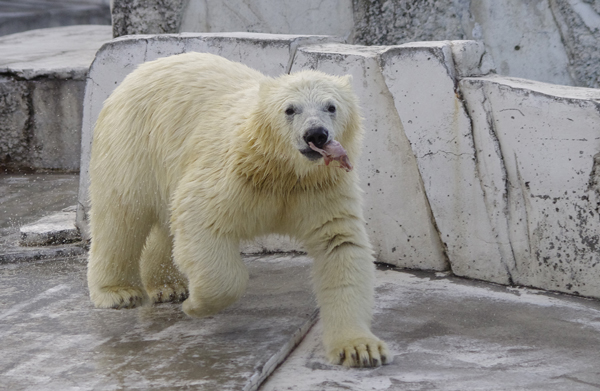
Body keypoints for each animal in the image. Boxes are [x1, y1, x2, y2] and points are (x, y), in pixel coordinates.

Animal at [86, 51, 392, 368]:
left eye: (331, 106)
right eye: (290, 109)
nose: (316, 134)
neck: (283, 171)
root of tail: (140, 70)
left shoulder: (321, 188)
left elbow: (341, 246)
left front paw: (360, 348)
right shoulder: (234, 174)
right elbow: (198, 218)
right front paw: (195, 305)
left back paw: (168, 286)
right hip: (132, 143)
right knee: (121, 215)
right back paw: (120, 292)